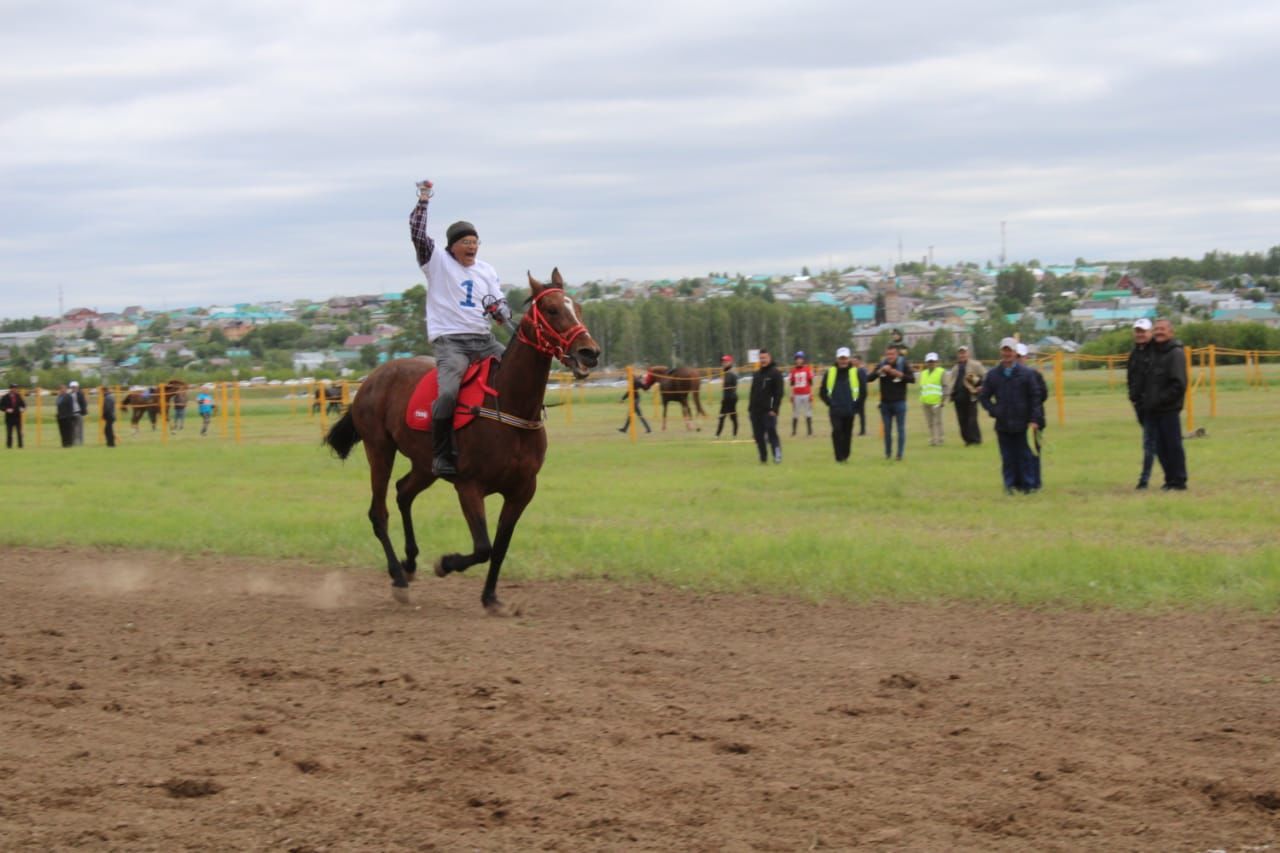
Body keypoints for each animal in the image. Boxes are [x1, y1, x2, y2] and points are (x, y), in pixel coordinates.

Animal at [320, 268, 599, 607]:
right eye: (552, 309)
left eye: (579, 308)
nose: (589, 352)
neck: (509, 404)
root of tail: (371, 379)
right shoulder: (469, 487)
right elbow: (483, 547)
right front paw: (445, 563)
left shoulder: (522, 491)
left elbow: (500, 546)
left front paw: (490, 597)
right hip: (380, 450)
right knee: (379, 512)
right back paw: (398, 577)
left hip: (425, 465)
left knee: (403, 493)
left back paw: (409, 562)